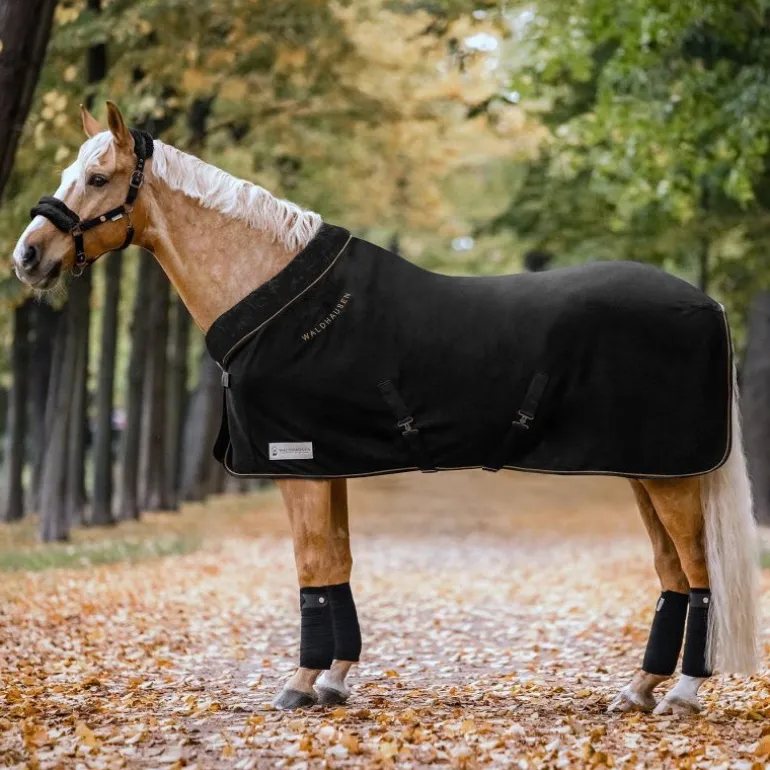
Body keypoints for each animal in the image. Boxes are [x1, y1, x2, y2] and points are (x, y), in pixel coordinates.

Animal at [13, 102, 760, 715]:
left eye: (99, 178)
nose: (27, 256)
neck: (278, 298)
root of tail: (708, 303)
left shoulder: (297, 466)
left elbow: (312, 569)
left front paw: (300, 684)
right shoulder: (327, 465)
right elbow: (337, 566)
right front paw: (336, 680)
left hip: (669, 476)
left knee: (699, 574)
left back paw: (684, 693)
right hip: (649, 471)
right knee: (671, 575)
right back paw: (638, 690)